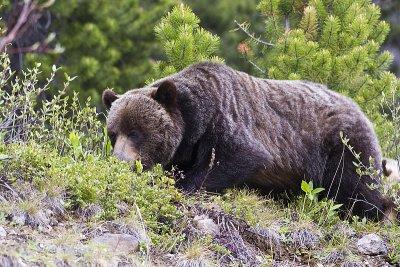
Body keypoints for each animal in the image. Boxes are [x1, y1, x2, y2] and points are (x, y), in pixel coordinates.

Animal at [101, 61, 396, 221]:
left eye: (135, 132)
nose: (120, 160)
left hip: (342, 145)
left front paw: (184, 185)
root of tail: (358, 108)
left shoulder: (225, 120)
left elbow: (239, 157)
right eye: (113, 133)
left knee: (356, 188)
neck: (193, 125)